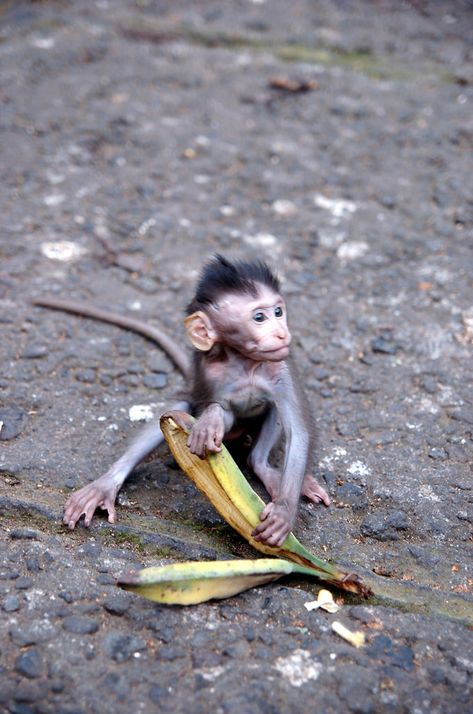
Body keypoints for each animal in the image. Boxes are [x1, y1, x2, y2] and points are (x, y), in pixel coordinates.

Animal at [37, 256, 328, 544]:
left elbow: (298, 431)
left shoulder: (282, 367)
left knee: (270, 419)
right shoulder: (209, 373)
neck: (246, 363)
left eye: (278, 312)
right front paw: (210, 422)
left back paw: (267, 469)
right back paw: (104, 485)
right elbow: (217, 409)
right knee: (177, 410)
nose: (282, 332)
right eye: (259, 317)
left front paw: (283, 514)